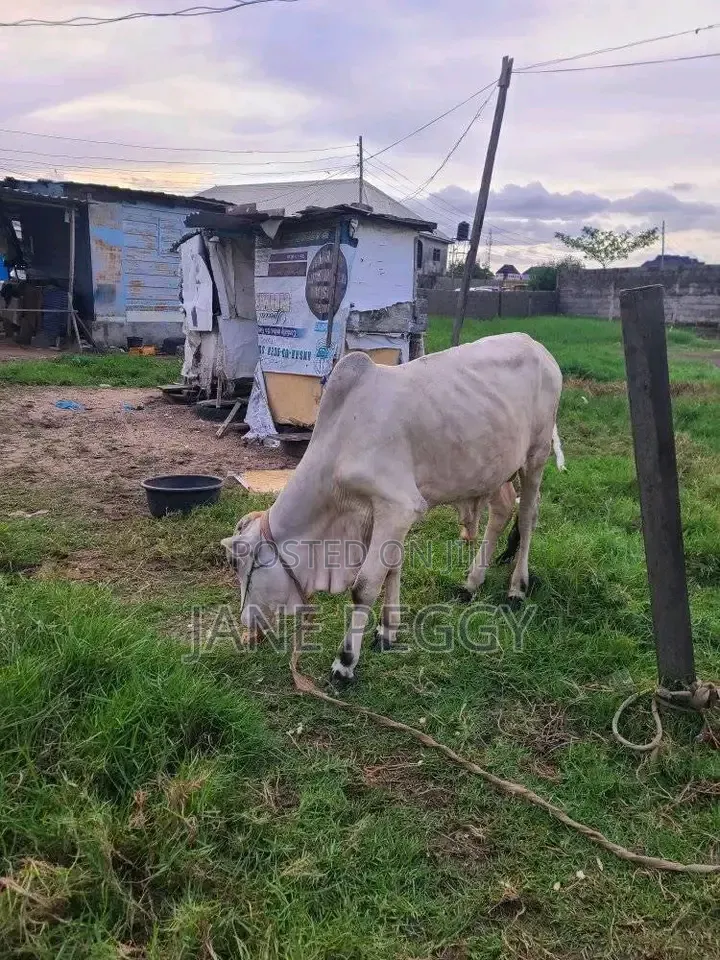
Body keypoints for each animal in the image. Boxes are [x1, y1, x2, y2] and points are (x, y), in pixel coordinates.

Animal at [221, 332, 565, 683]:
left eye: (237, 563)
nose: (247, 626)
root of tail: (535, 345)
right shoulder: (385, 515)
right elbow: (393, 568)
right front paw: (387, 631)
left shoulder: (397, 507)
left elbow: (365, 586)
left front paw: (345, 663)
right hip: (493, 470)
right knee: (502, 511)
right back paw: (471, 583)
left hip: (535, 455)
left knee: (528, 516)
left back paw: (516, 588)